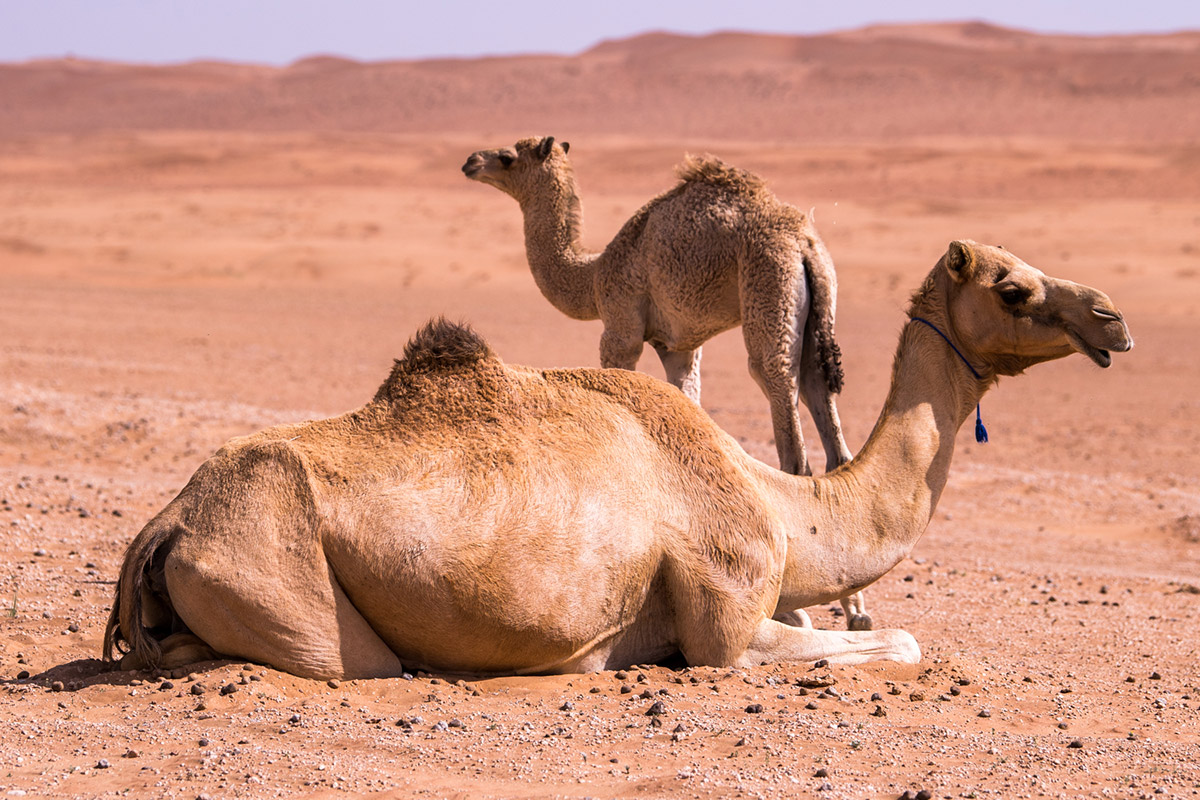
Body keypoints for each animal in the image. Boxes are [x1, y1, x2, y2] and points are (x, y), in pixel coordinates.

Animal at [105, 241, 1132, 681]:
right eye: (1013, 287)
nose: (1113, 316)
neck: (782, 506)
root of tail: (164, 525)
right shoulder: (725, 619)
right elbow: (904, 643)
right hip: (299, 598)